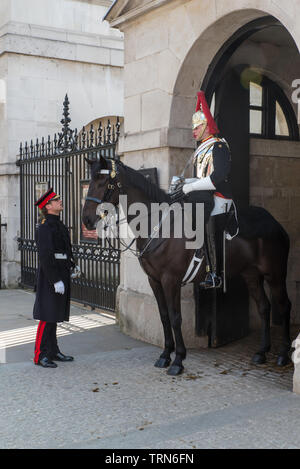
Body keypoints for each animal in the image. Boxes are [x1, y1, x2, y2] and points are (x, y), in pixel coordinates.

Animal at [81, 155, 290, 374]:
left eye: (104, 182)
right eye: (91, 181)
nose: (86, 219)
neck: (158, 225)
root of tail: (274, 222)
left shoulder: (170, 280)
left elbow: (175, 317)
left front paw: (178, 360)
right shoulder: (154, 280)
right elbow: (164, 316)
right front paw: (165, 355)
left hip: (275, 274)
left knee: (284, 306)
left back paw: (283, 354)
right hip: (251, 275)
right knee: (264, 307)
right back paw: (262, 352)